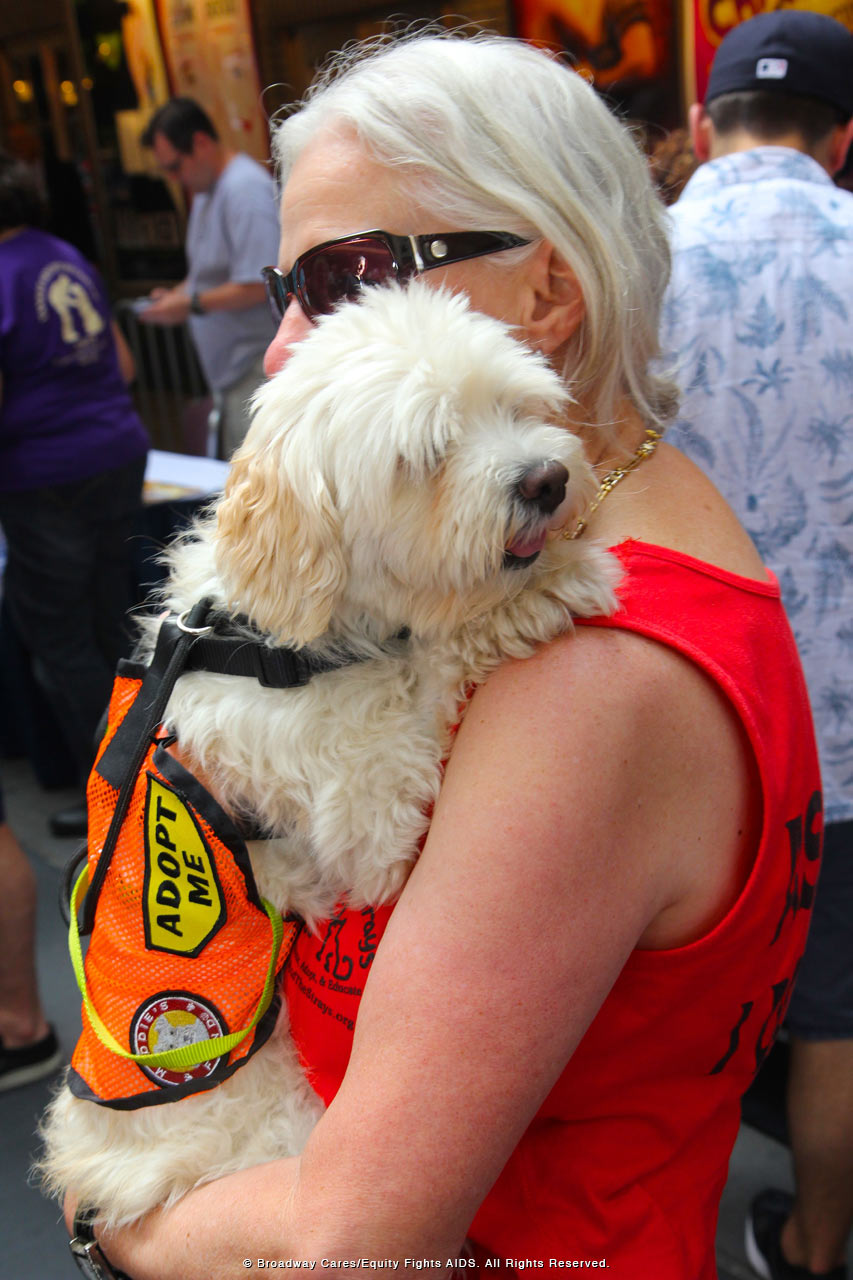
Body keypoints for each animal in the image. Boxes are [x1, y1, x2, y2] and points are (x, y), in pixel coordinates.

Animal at [39, 282, 614, 1228]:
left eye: (514, 406)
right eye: (428, 453)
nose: (548, 481)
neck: (269, 638)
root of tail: (97, 1167)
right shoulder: (365, 811)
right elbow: (426, 666)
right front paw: (537, 594)